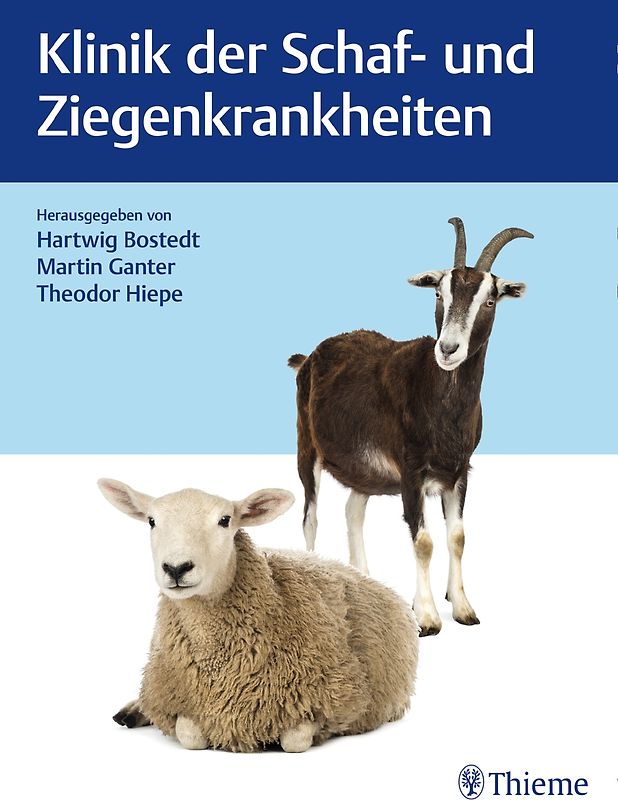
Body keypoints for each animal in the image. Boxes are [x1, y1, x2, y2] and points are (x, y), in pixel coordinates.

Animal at [98, 478, 419, 752]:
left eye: (225, 520)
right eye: (151, 521)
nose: (176, 568)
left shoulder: (338, 698)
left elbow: (294, 740)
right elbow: (189, 734)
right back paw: (132, 710)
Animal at [288, 218, 533, 636]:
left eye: (489, 300)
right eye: (438, 293)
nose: (448, 349)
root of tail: (309, 357)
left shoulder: (459, 471)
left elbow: (457, 537)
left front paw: (463, 607)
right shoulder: (410, 471)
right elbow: (423, 542)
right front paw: (428, 617)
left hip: (364, 470)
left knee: (353, 510)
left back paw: (364, 582)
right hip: (308, 447)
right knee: (311, 516)